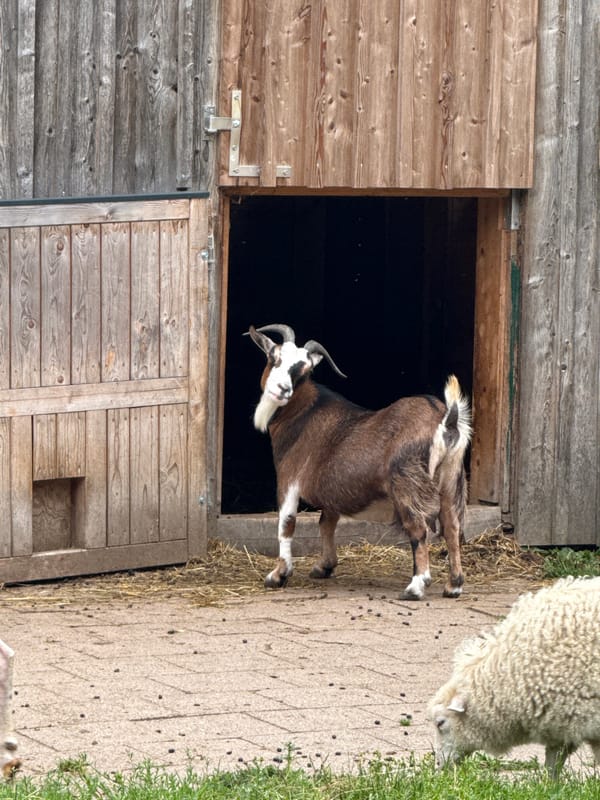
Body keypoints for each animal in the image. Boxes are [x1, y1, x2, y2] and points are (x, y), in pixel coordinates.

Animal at [247, 323, 472, 600]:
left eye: (304, 369)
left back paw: (416, 586)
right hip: (451, 480)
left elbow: (286, 524)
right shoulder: (331, 490)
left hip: (407, 483)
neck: (302, 411)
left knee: (419, 529)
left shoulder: (289, 478)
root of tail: (447, 420)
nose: (282, 389)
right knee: (452, 527)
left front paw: (278, 575)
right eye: (274, 356)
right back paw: (454, 585)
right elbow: (327, 523)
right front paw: (324, 566)